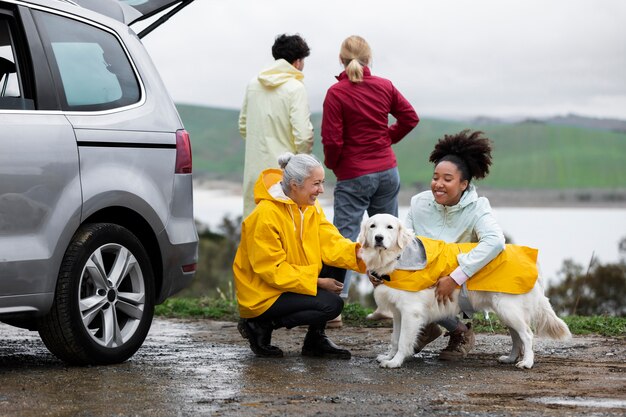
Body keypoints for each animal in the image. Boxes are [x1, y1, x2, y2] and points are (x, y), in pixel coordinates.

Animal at [356, 213, 572, 368]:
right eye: (373, 226)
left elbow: (402, 341)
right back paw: (510, 358)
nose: (378, 238)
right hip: (507, 313)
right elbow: (395, 338)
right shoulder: (398, 312)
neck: (397, 258)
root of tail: (533, 261)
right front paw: (388, 356)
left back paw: (526, 362)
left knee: (527, 335)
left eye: (390, 227)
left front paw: (395, 362)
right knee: (517, 337)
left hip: (509, 310)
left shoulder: (411, 312)